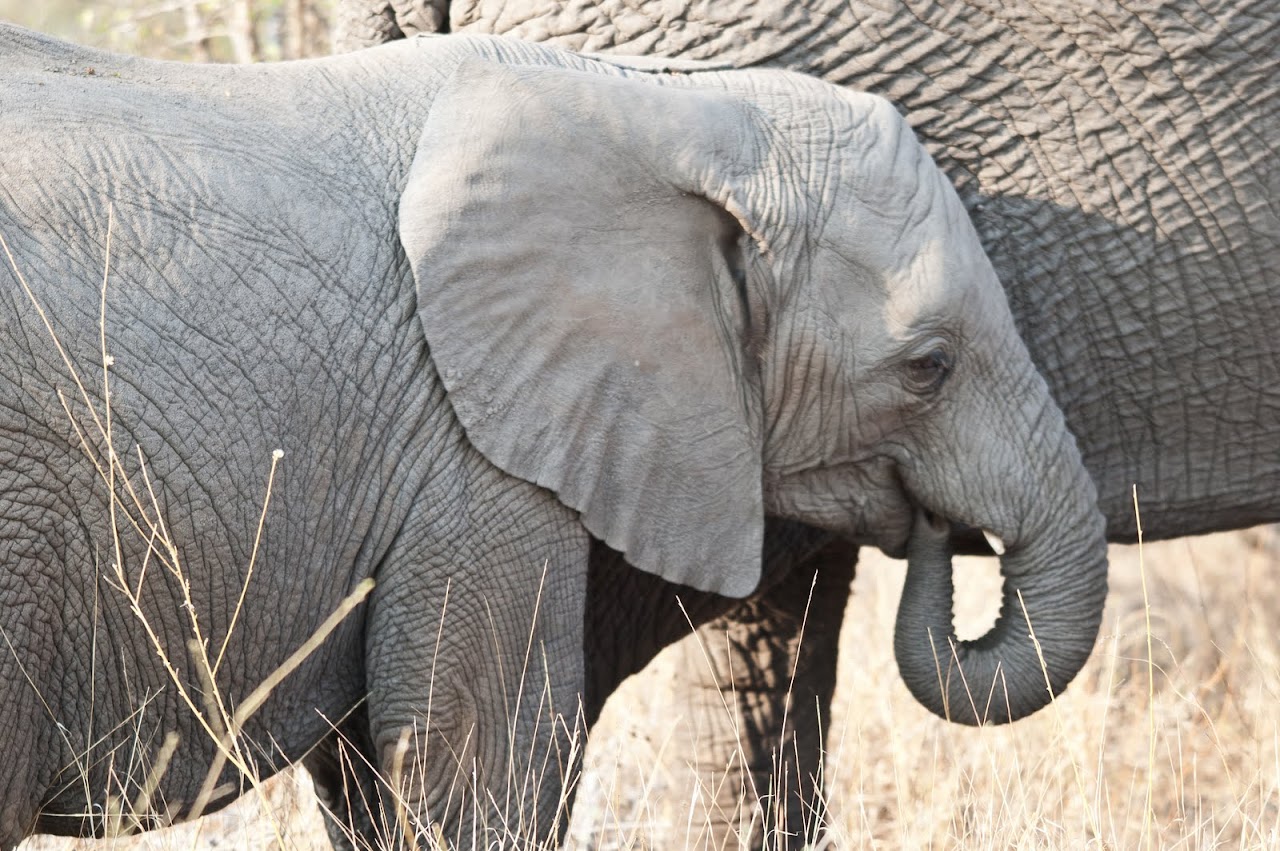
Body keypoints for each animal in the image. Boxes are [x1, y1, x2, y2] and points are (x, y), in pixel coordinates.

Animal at [0, 22, 1109, 849]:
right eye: (930, 366)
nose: (936, 530)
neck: (665, 111)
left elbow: (371, 774)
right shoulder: (469, 451)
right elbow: (477, 760)